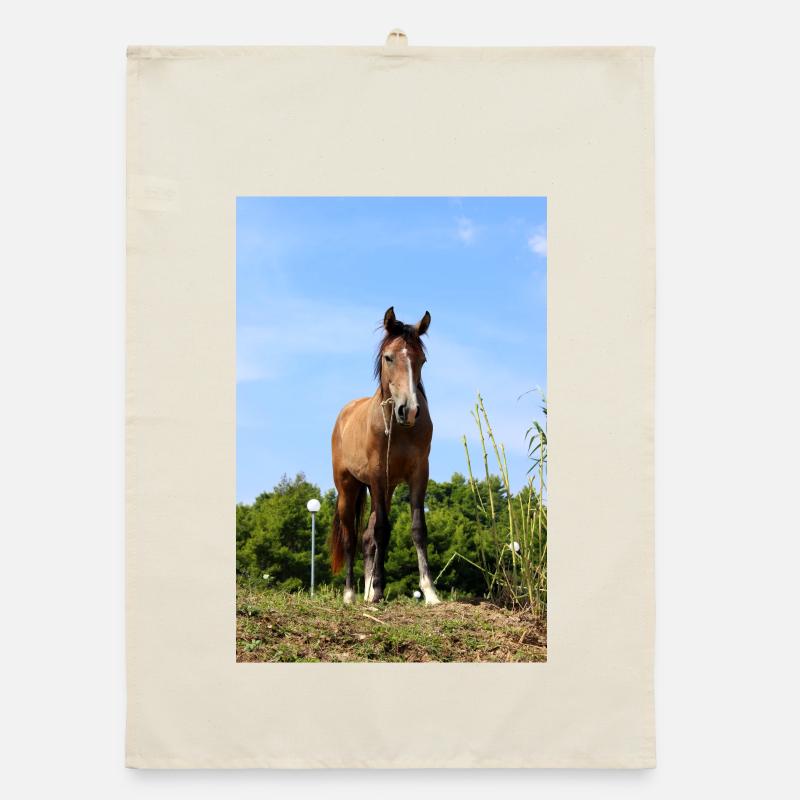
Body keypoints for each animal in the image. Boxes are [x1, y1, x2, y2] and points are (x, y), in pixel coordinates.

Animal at [330, 307, 441, 605]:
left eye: (422, 360)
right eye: (389, 357)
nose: (409, 410)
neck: (399, 429)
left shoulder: (418, 474)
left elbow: (417, 529)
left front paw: (429, 591)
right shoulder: (378, 476)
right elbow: (382, 530)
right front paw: (378, 590)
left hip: (386, 489)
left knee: (367, 537)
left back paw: (367, 590)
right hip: (348, 488)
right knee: (351, 538)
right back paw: (350, 594)